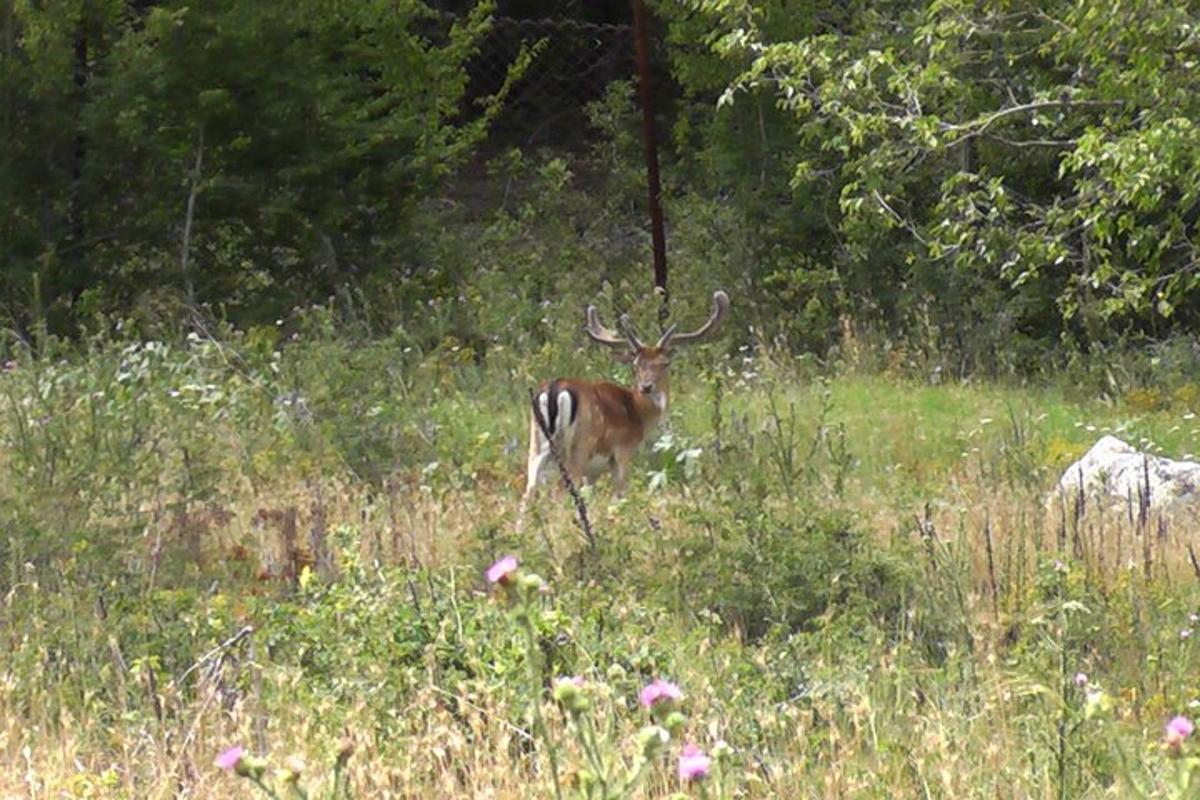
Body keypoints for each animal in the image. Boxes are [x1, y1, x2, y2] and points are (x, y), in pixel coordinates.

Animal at [518, 291, 724, 510]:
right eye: (636, 364)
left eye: (665, 363)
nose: (646, 387)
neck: (638, 415)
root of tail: (555, 390)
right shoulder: (623, 451)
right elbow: (621, 495)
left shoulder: (593, 471)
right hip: (578, 448)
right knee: (563, 495)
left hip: (536, 445)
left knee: (528, 493)